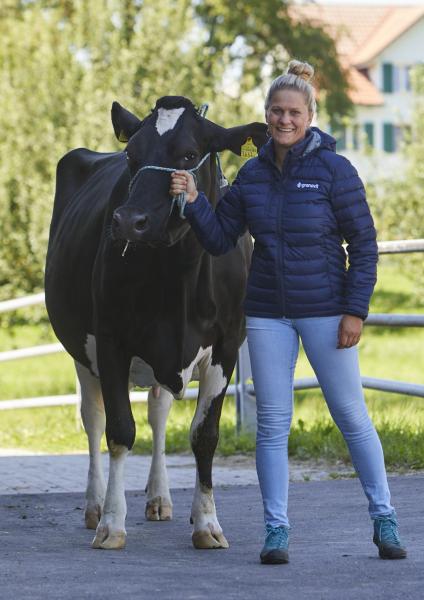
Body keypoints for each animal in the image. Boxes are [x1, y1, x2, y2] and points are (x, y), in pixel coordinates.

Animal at [45, 96, 267, 550]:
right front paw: (112, 523)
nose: (129, 221)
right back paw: (94, 506)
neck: (178, 279)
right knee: (93, 419)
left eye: (188, 155)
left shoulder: (227, 347)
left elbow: (204, 436)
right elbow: (120, 432)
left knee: (159, 412)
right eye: (132, 155)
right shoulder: (111, 341)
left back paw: (160, 498)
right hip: (81, 351)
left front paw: (207, 523)